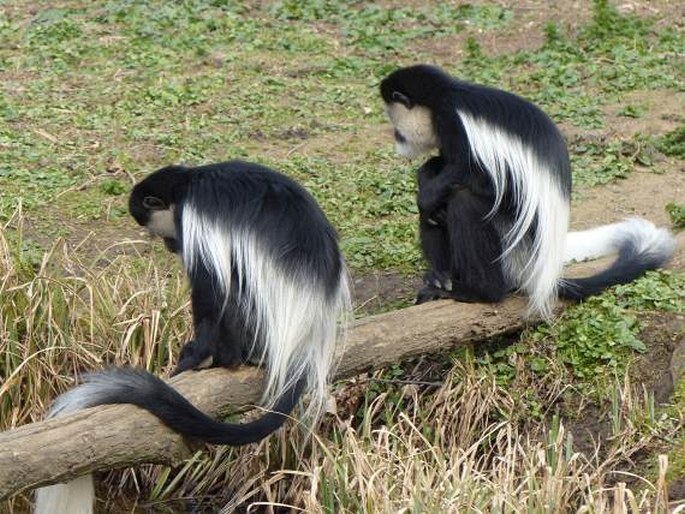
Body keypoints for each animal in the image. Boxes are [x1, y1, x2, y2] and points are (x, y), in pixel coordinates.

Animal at [34, 160, 350, 512]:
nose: (169, 245)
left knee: (231, 284)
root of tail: (307, 341)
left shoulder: (196, 215)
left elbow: (209, 288)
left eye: (156, 229)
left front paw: (195, 357)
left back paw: (228, 357)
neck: (188, 182)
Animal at [380, 65, 672, 316]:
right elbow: (437, 167)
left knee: (465, 202)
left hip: (512, 247)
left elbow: (482, 180)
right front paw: (427, 177)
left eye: (393, 119)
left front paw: (429, 193)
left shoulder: (455, 125)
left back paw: (476, 291)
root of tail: (541, 271)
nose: (395, 136)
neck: (445, 98)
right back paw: (441, 278)